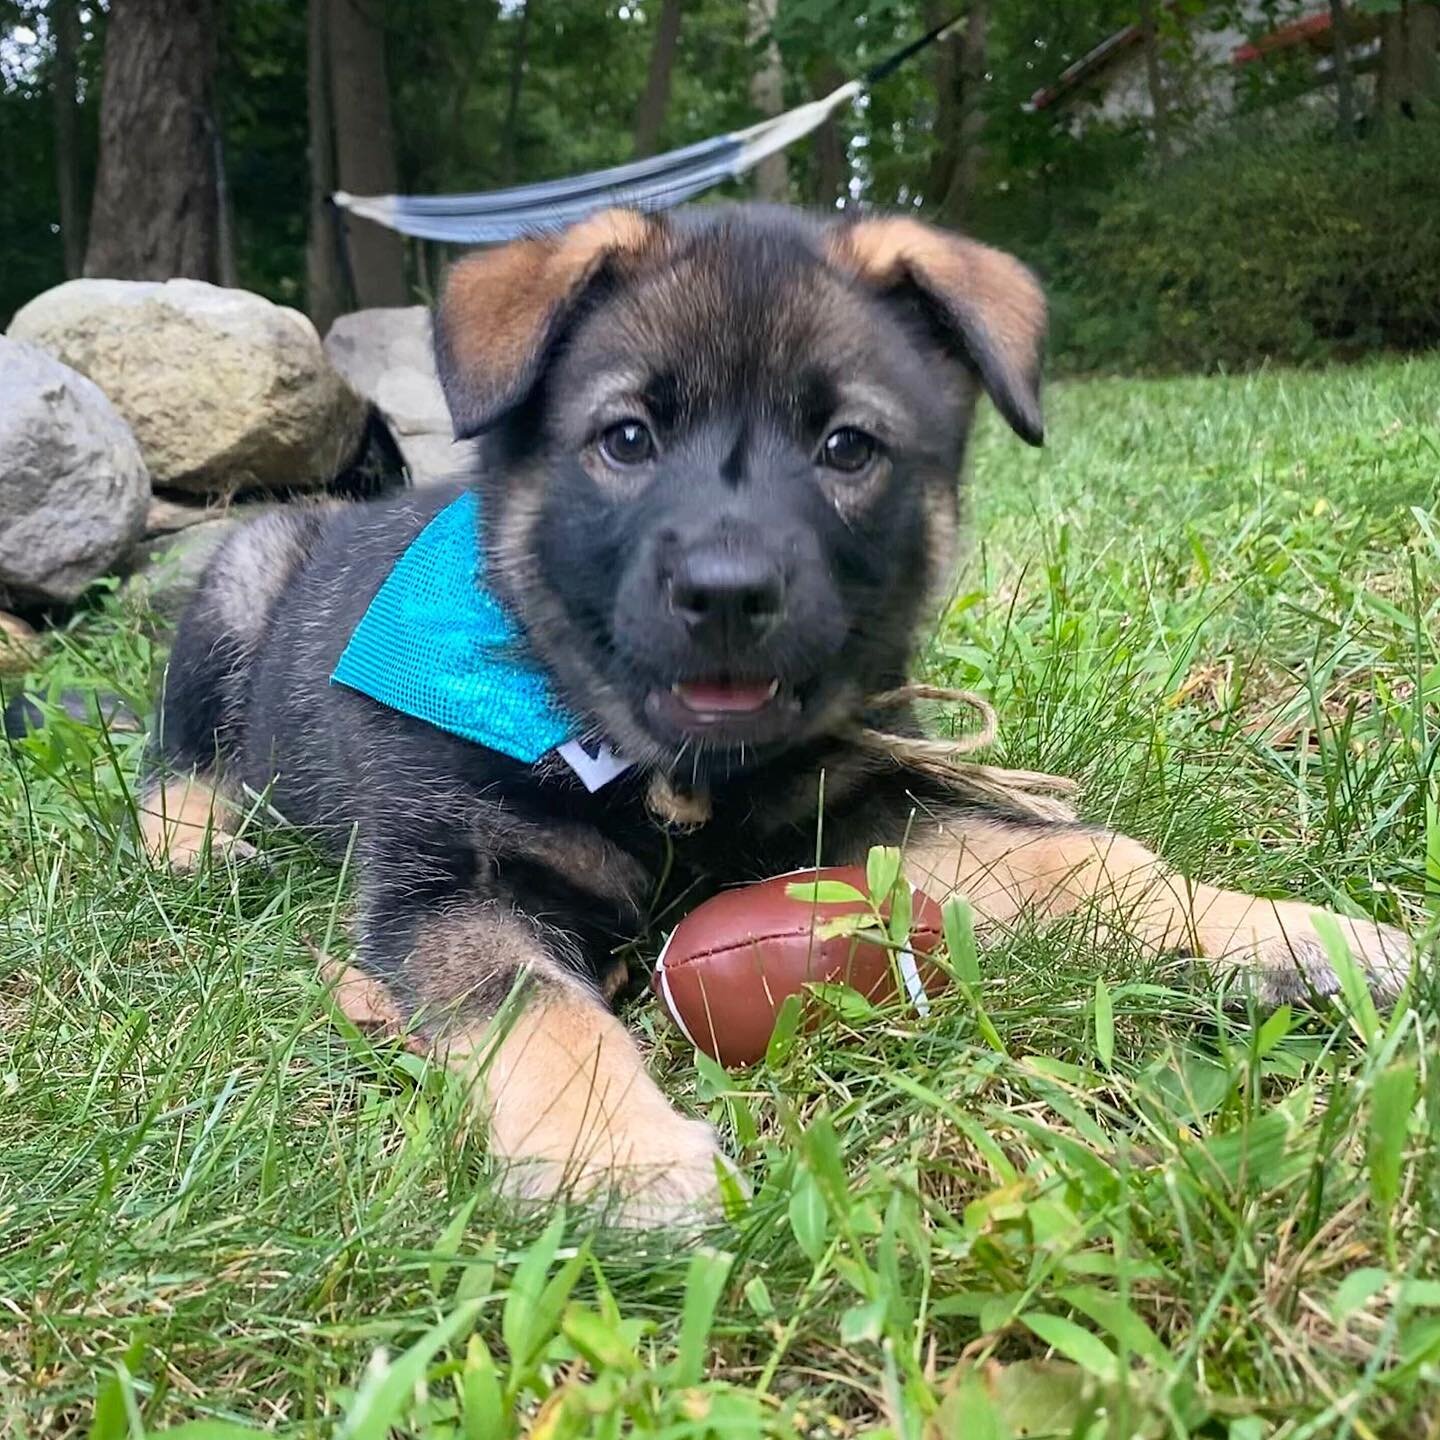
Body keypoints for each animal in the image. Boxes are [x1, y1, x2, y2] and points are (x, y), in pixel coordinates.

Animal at [140, 205, 1411, 1226]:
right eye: (628, 438)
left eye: (846, 447)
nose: (727, 595)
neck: (662, 771)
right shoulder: (455, 884)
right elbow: (537, 1013)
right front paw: (618, 1156)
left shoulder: (869, 795)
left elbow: (1078, 860)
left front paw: (1287, 933)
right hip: (240, 581)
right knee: (171, 756)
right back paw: (197, 843)